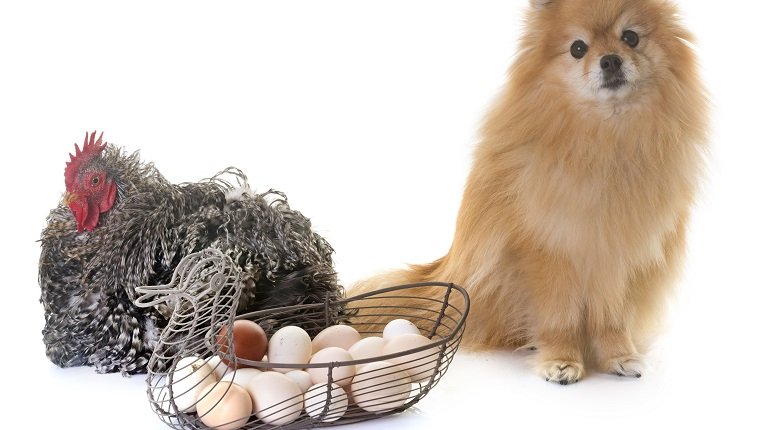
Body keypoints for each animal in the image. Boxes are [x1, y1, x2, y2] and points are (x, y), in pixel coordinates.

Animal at [348, 0, 708, 382]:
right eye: (577, 48)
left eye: (631, 37)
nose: (610, 60)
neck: (606, 139)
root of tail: (437, 275)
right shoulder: (548, 251)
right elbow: (558, 315)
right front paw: (561, 359)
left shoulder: (616, 256)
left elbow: (612, 316)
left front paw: (619, 356)